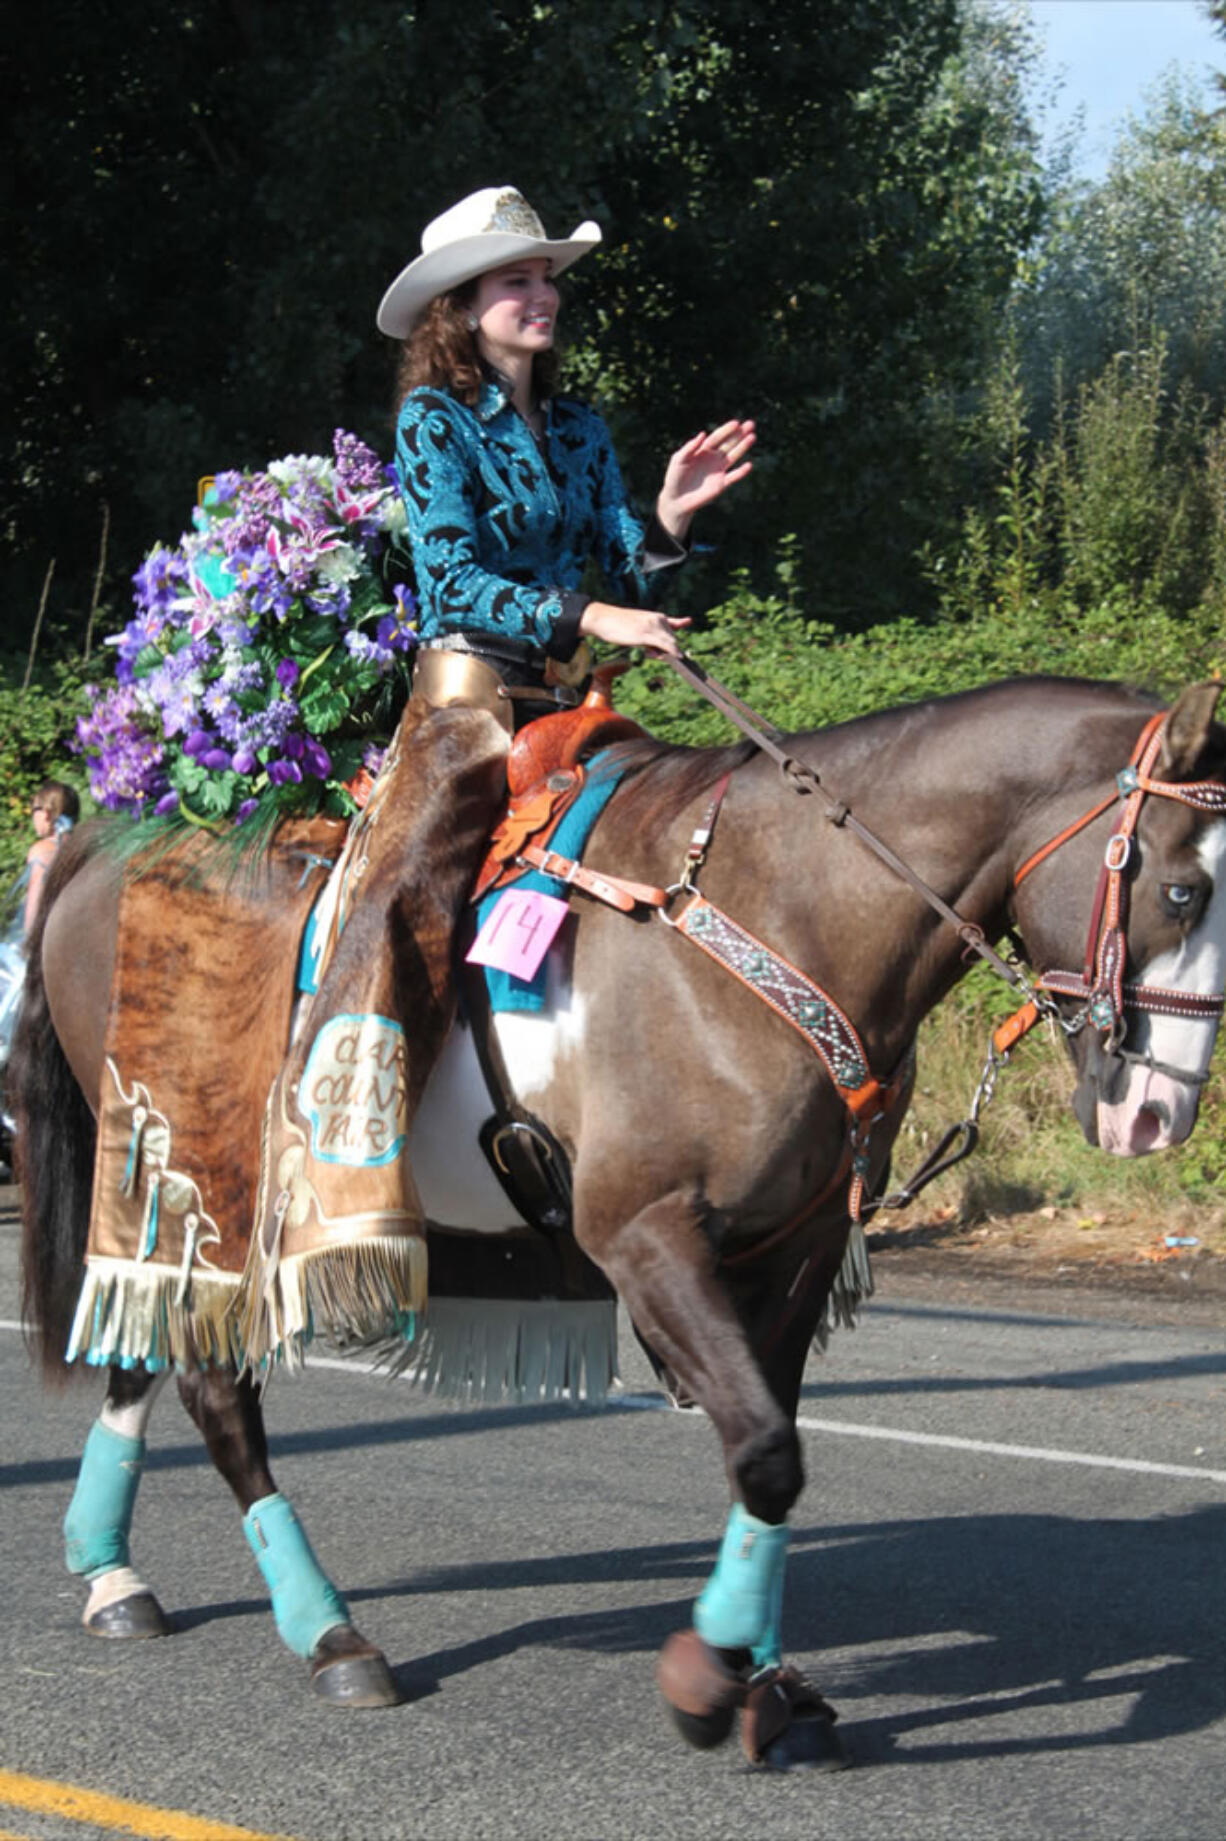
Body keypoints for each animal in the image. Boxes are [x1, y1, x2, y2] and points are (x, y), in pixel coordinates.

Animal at [9, 677, 1222, 1767]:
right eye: (1180, 891)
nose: (1154, 1113)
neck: (782, 909)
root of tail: (107, 845)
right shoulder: (645, 1236)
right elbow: (766, 1452)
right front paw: (708, 1674)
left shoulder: (790, 1249)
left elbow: (766, 1447)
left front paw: (766, 1678)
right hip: (203, 1174)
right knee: (217, 1393)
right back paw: (330, 1633)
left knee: (145, 1354)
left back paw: (111, 1570)